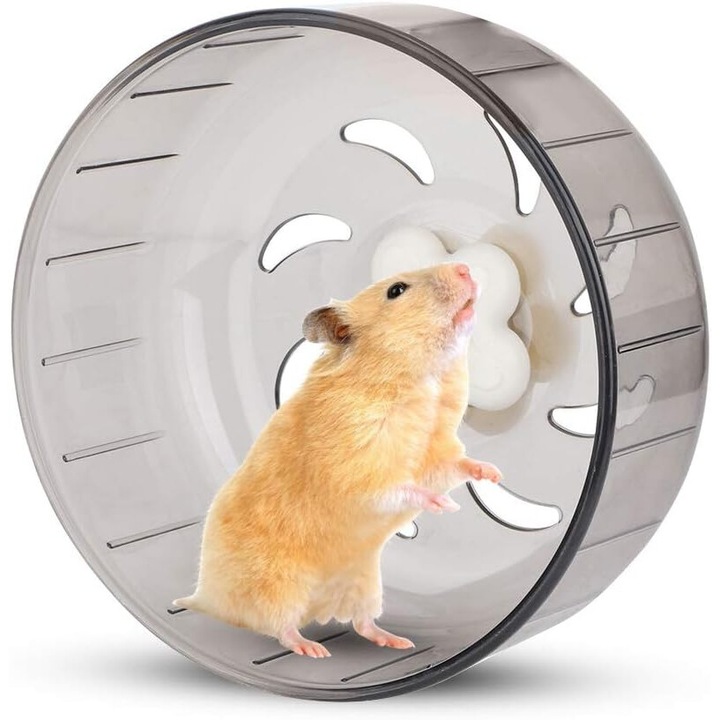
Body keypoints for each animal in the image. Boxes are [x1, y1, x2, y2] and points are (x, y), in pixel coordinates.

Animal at [174, 262, 502, 658]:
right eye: (396, 290)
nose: (465, 267)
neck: (423, 380)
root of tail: (206, 597)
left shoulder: (436, 452)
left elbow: (456, 465)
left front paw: (492, 474)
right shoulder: (357, 467)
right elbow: (396, 488)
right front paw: (443, 505)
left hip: (364, 582)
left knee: (361, 624)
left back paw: (398, 642)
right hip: (279, 586)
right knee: (279, 627)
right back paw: (313, 649)